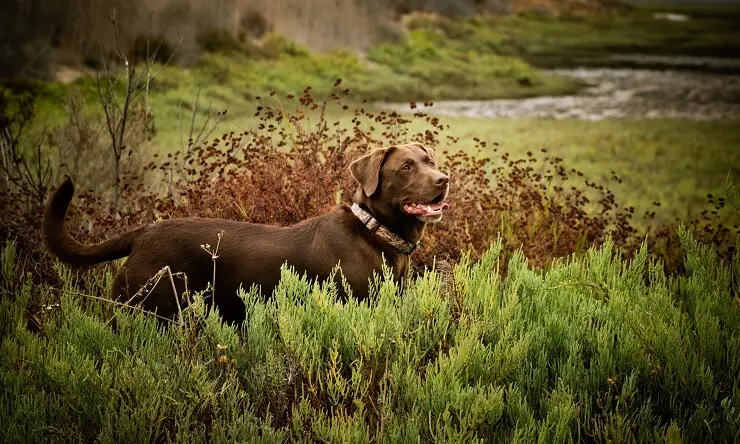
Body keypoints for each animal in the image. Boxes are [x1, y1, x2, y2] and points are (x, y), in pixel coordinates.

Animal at [46, 142, 454, 322]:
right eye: (406, 167)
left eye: (430, 161)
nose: (444, 179)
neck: (374, 232)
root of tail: (144, 231)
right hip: (147, 310)